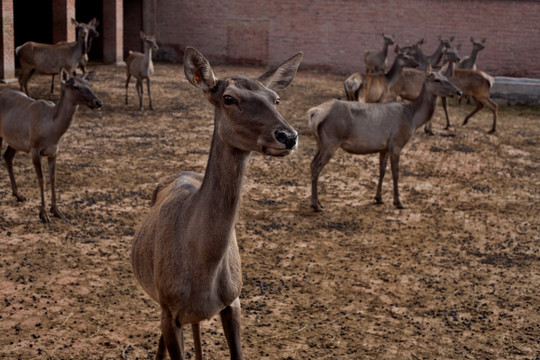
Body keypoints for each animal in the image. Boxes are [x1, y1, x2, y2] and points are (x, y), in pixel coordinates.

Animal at [0, 69, 103, 222]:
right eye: (76, 86)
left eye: (89, 84)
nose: (99, 102)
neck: (52, 131)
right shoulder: (34, 148)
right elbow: (41, 179)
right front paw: (43, 214)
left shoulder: (54, 151)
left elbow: (53, 178)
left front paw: (56, 210)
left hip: (14, 140)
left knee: (7, 157)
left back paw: (18, 195)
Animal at [129, 47, 302, 360]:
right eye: (229, 98)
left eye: (276, 98)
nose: (288, 136)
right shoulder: (169, 309)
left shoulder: (233, 301)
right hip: (161, 303)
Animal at [310, 67, 462, 211]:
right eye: (437, 80)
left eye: (447, 78)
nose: (459, 92)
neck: (412, 119)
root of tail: (315, 113)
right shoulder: (396, 143)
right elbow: (396, 173)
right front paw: (398, 202)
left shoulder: (384, 147)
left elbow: (382, 170)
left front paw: (378, 198)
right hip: (331, 140)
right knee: (317, 166)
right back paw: (316, 205)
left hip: (320, 142)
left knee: (312, 164)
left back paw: (317, 202)